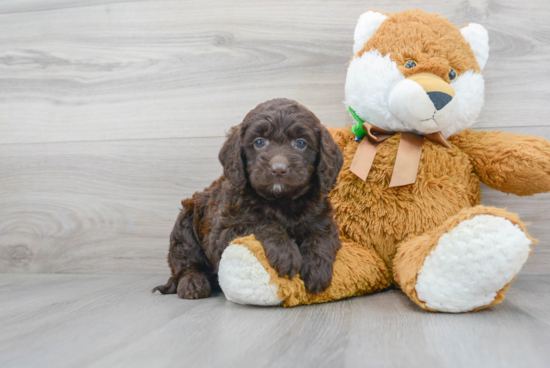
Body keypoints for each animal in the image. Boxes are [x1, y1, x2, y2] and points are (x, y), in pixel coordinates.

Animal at [154, 98, 344, 300]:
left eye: (300, 143)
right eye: (259, 142)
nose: (278, 169)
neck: (281, 201)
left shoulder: (324, 222)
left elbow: (320, 238)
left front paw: (317, 268)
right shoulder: (223, 233)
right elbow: (261, 224)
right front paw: (286, 252)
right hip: (186, 222)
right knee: (186, 262)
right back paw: (192, 283)